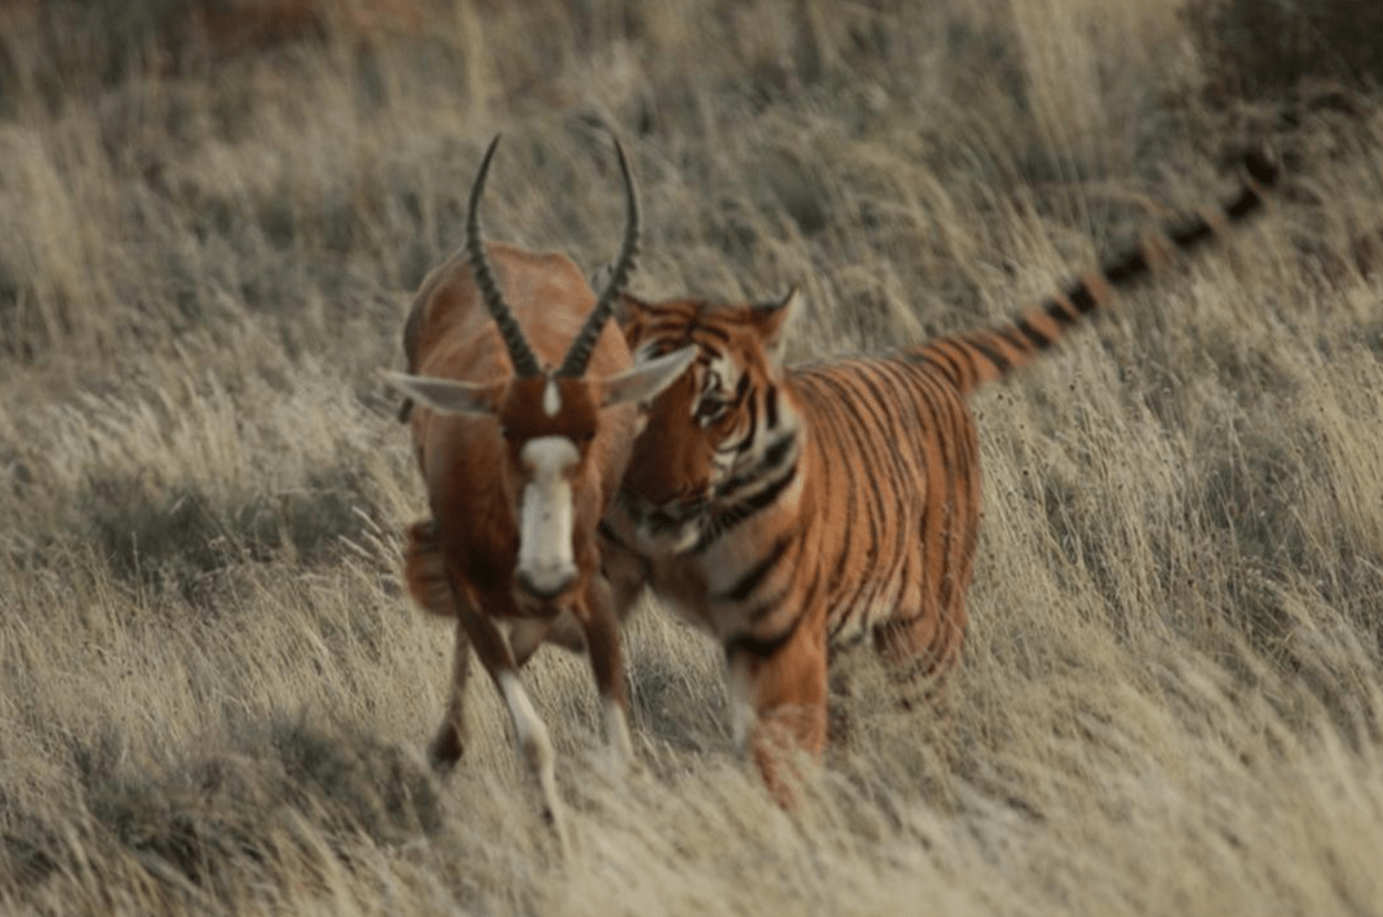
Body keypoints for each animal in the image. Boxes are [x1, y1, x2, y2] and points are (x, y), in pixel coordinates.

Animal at [384, 136, 697, 846]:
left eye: (592, 431)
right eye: (504, 428)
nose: (546, 577)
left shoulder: (597, 605)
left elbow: (620, 752)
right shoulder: (476, 602)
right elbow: (531, 739)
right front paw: (557, 843)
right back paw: (443, 750)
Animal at [600, 152, 1277, 802]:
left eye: (713, 407)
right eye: (643, 399)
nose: (657, 497)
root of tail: (916, 359)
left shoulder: (778, 639)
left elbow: (782, 759)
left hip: (925, 627)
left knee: (932, 729)